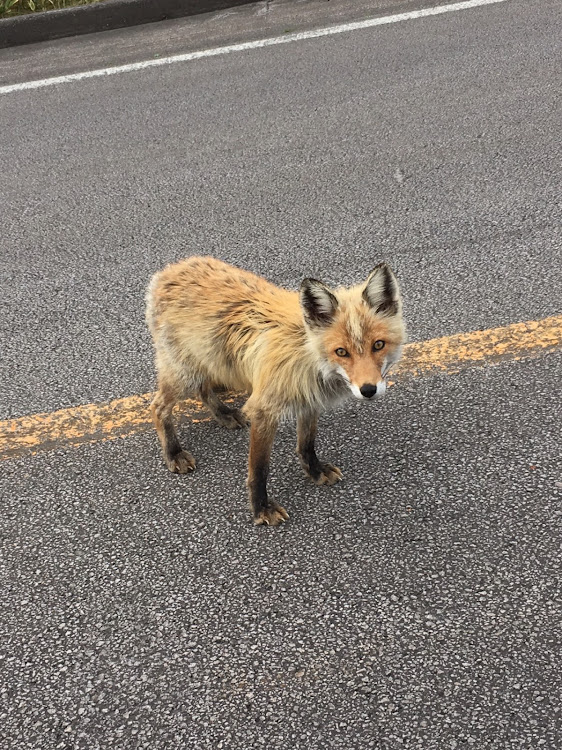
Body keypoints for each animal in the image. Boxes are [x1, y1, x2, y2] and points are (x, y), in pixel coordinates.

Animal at [145, 258, 402, 528]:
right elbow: (259, 469)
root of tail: (170, 270)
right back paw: (174, 453)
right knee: (158, 407)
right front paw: (261, 509)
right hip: (183, 374)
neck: (307, 357)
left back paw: (224, 415)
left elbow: (306, 444)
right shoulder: (264, 409)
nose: (368, 390)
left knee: (203, 390)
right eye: (341, 352)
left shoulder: (308, 400)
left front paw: (315, 471)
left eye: (378, 345)